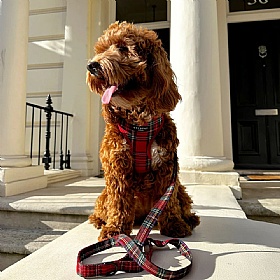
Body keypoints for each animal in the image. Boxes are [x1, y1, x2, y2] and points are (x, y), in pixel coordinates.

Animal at [86, 21, 198, 241]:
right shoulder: (117, 166)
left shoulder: (167, 167)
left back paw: (189, 219)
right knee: (103, 208)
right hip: (104, 195)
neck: (140, 124)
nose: (92, 65)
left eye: (123, 48)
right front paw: (115, 230)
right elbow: (119, 203)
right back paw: (100, 221)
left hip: (181, 188)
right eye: (102, 50)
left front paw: (175, 225)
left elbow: (168, 203)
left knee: (182, 202)